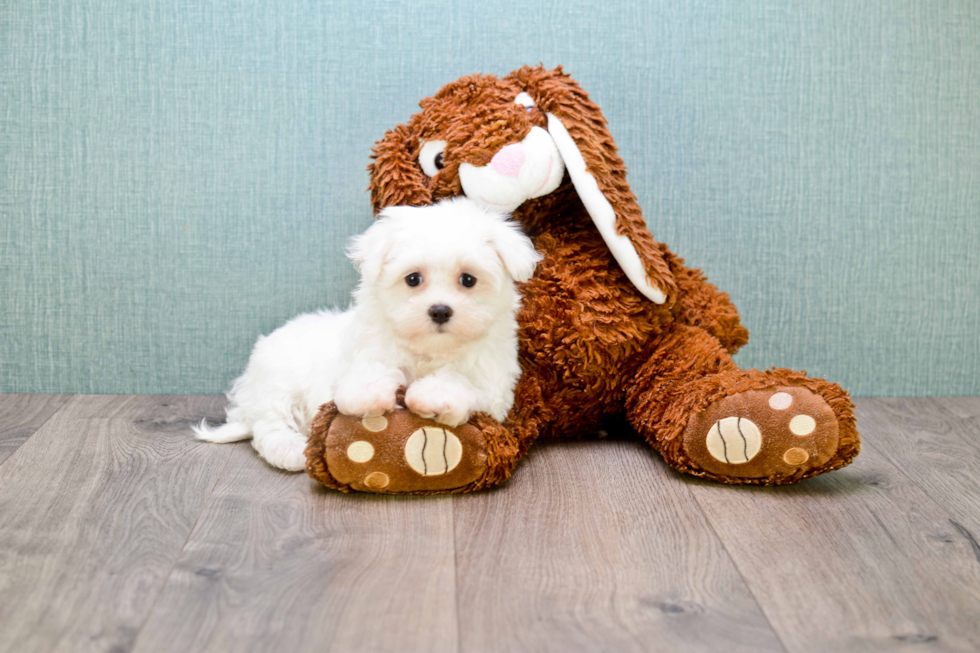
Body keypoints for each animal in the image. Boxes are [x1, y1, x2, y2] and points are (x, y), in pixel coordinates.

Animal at [194, 196, 540, 472]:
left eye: (468, 280)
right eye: (413, 279)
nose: (440, 311)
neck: (429, 349)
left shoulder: (494, 384)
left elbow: (463, 382)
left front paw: (434, 394)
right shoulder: (367, 351)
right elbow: (368, 371)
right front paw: (368, 394)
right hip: (276, 383)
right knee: (270, 424)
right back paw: (291, 450)